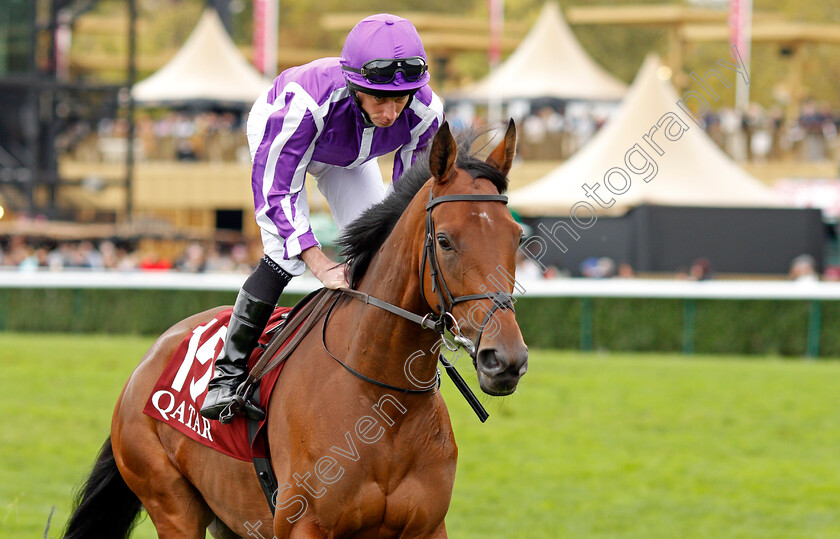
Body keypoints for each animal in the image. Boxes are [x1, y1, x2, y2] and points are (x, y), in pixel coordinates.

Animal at [65, 122, 528, 539]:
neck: (381, 400)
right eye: (445, 241)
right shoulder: (303, 526)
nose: (505, 358)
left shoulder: (427, 528)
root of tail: (148, 360)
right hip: (171, 503)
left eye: (517, 237)